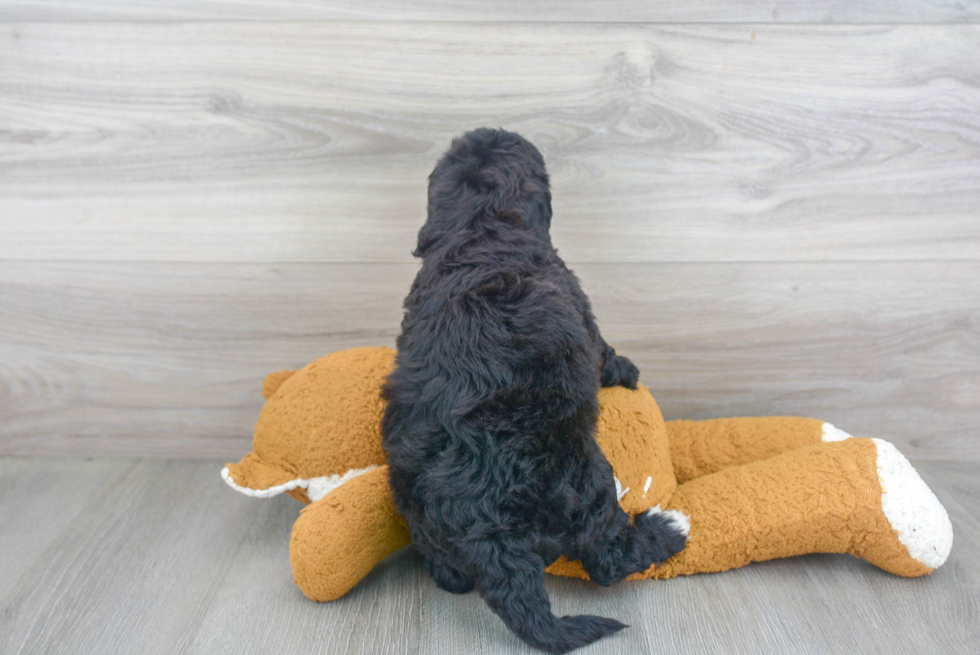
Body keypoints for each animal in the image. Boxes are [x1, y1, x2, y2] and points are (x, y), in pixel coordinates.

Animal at [378, 129, 684, 655]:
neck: (481, 223)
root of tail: (491, 535)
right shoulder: (583, 310)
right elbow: (604, 351)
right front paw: (627, 370)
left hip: (414, 501)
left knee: (447, 570)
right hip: (588, 483)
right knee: (607, 559)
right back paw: (665, 531)